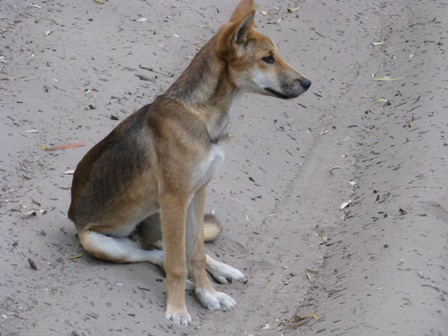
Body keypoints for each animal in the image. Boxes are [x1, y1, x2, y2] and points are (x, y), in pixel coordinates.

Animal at [67, 0, 312, 326]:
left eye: (277, 56)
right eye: (268, 59)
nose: (307, 83)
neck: (202, 114)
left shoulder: (197, 193)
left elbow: (195, 253)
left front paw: (208, 294)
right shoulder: (177, 198)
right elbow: (178, 264)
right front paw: (178, 309)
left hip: (161, 217)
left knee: (167, 249)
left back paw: (220, 271)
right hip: (100, 241)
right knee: (156, 255)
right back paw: (186, 284)